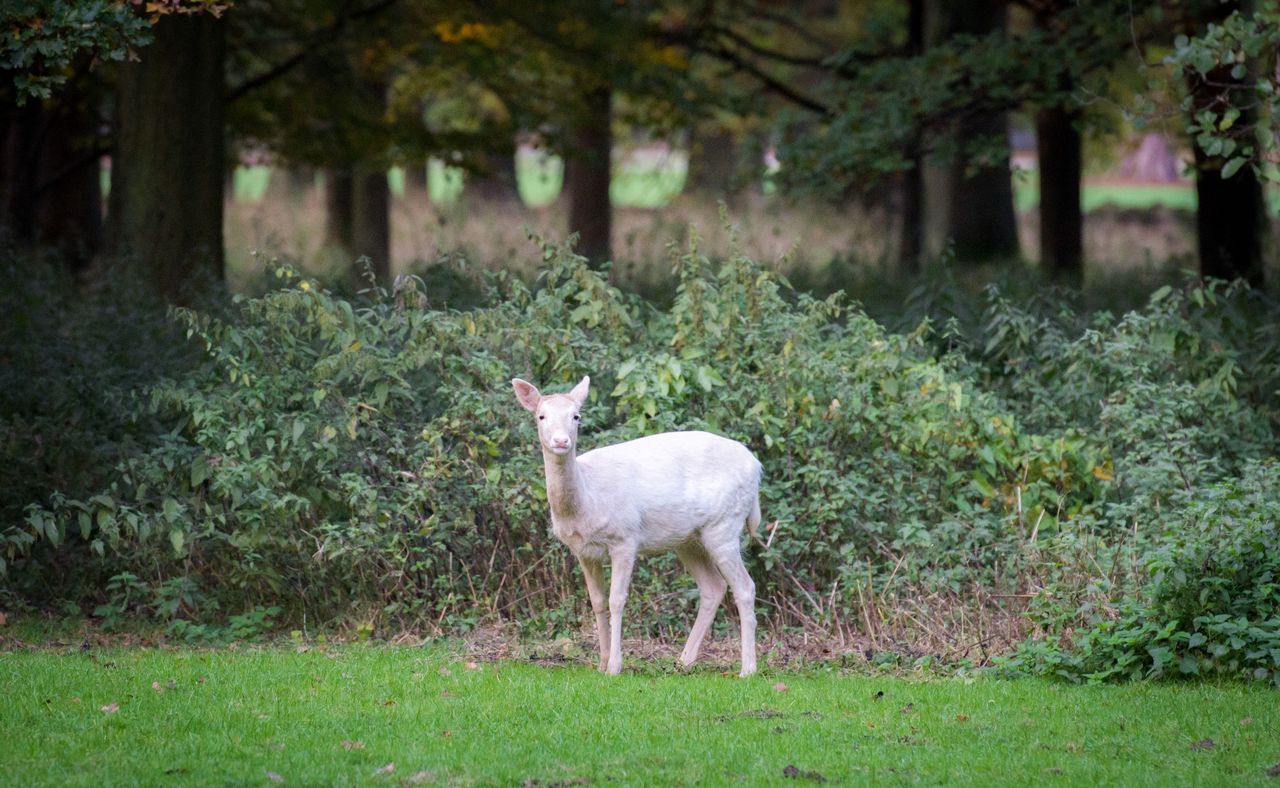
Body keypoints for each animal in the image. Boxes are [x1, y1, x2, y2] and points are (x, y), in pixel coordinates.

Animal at [514, 376, 762, 675]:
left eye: (576, 416)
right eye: (541, 416)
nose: (561, 440)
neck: (587, 499)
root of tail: (756, 467)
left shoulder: (625, 538)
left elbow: (616, 599)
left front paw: (615, 667)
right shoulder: (583, 550)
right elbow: (597, 602)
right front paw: (601, 664)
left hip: (724, 524)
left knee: (745, 587)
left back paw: (747, 669)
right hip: (689, 540)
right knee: (713, 588)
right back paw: (683, 661)